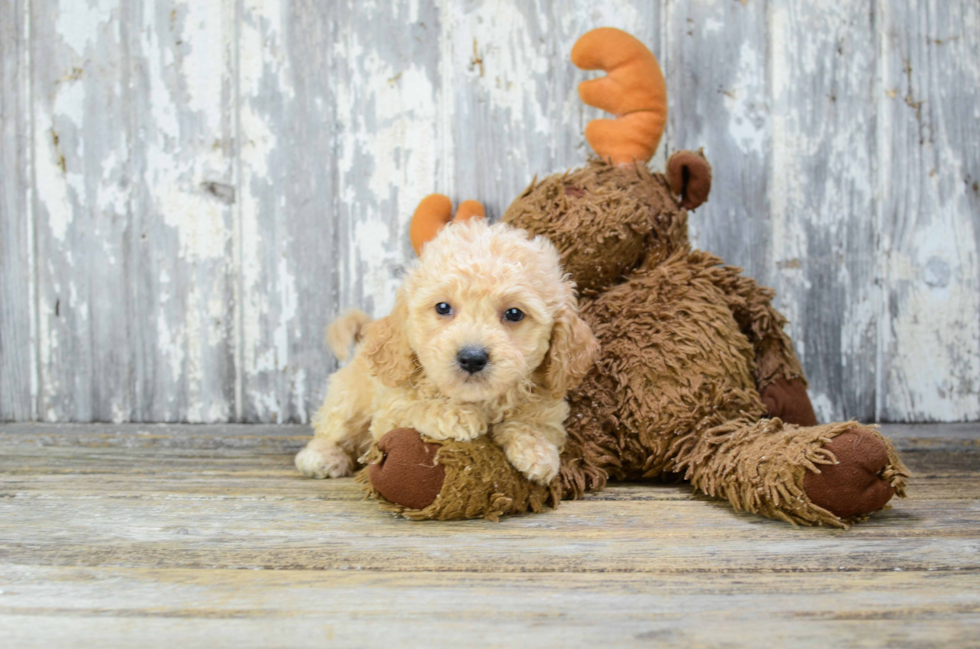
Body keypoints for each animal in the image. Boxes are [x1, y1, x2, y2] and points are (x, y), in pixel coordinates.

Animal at [294, 220, 596, 484]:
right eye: (442, 307)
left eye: (514, 314)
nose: (472, 358)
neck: (477, 400)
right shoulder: (389, 412)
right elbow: (414, 407)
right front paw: (454, 415)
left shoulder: (550, 411)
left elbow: (530, 424)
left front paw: (536, 450)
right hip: (349, 398)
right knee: (332, 429)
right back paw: (323, 457)